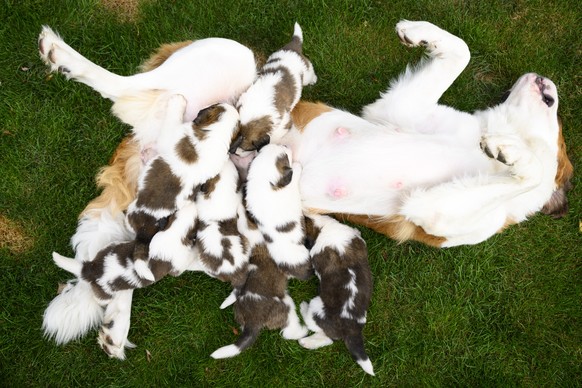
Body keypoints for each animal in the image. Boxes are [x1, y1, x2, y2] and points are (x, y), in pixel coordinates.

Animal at [298, 215, 376, 376]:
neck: (323, 227)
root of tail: (351, 328)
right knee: (328, 338)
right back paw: (307, 342)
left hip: (316, 306)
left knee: (319, 329)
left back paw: (303, 309)